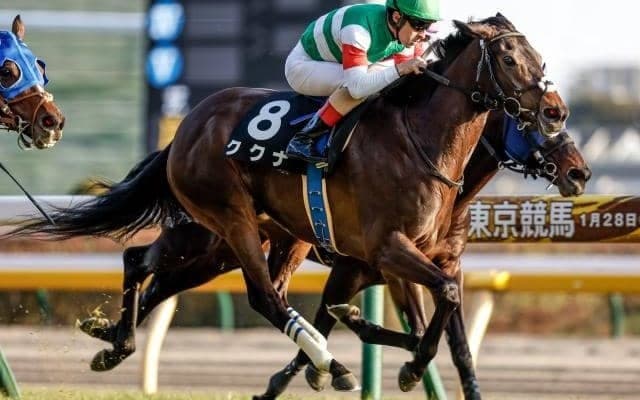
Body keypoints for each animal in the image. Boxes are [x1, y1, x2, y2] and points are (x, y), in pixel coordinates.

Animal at [7, 14, 569, 394]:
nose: (556, 112)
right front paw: (391, 359)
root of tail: (187, 126)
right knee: (260, 297)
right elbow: (437, 303)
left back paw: (113, 342)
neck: (421, 144)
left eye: (540, 58)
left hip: (230, 240)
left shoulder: (405, 259)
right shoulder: (385, 250)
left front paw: (399, 355)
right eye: (510, 59)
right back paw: (330, 363)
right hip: (227, 218)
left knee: (148, 265)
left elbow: (437, 319)